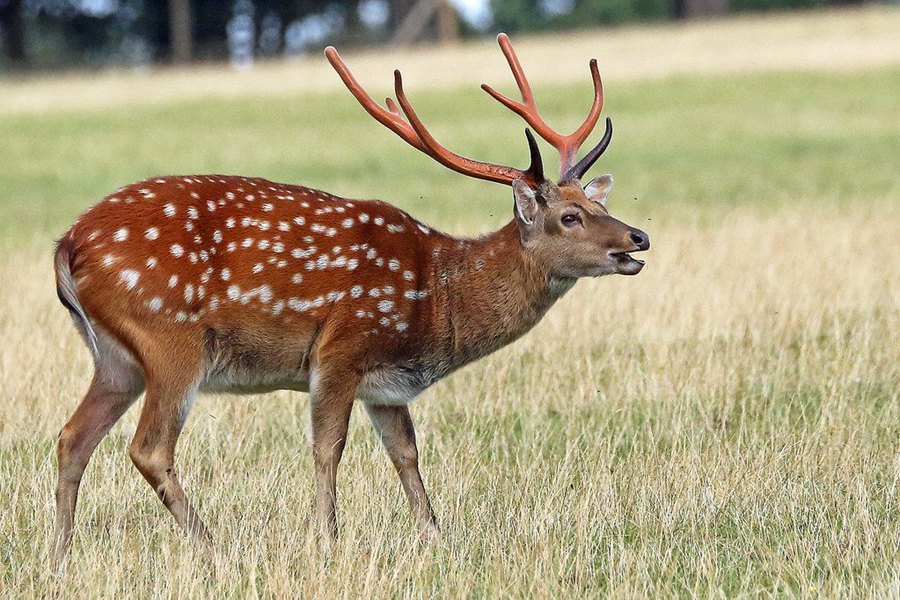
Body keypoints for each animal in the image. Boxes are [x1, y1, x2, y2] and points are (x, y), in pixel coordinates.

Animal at [52, 33, 649, 566]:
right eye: (569, 217)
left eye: (596, 204)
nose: (637, 239)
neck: (435, 298)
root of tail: (69, 241)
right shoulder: (342, 348)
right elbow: (328, 448)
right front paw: (329, 544)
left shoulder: (387, 386)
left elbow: (406, 454)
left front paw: (436, 539)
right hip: (170, 340)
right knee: (148, 447)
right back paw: (215, 549)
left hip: (117, 359)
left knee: (72, 437)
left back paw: (61, 558)